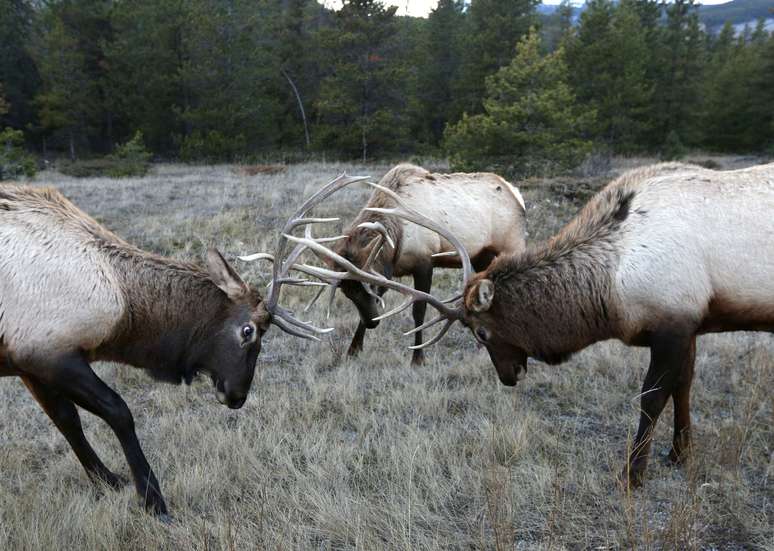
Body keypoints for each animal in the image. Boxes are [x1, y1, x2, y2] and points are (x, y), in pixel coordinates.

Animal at [0, 181, 356, 516]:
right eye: (248, 331)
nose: (238, 396)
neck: (120, 309)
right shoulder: (46, 351)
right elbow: (118, 412)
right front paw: (153, 499)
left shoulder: (27, 363)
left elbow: (67, 421)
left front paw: (108, 481)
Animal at [328, 162, 528, 364]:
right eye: (347, 293)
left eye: (370, 287)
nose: (372, 322)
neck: (397, 238)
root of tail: (517, 194)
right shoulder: (387, 270)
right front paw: (353, 350)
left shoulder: (424, 263)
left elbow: (419, 311)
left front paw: (418, 358)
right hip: (482, 256)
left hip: (513, 246)